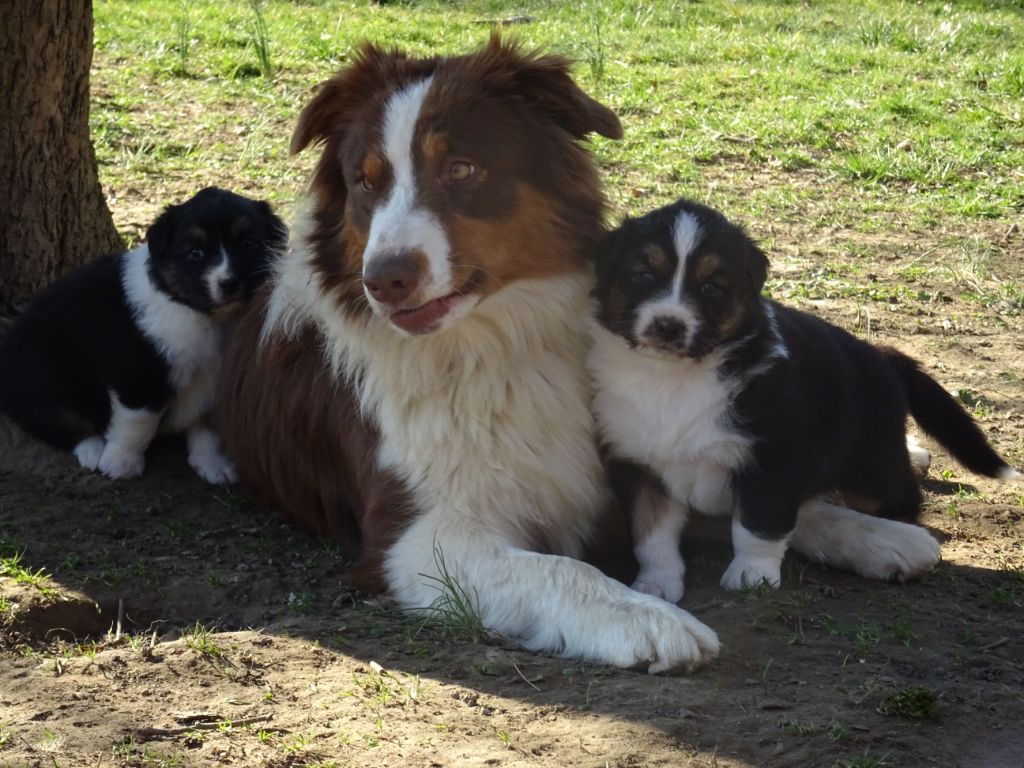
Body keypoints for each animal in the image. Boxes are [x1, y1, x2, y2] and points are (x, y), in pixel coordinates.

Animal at [0, 188, 286, 481]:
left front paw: (213, 464)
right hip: (43, 377)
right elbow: (139, 424)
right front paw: (120, 464)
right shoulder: (139, 376)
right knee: (58, 421)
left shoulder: (215, 379)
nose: (229, 283)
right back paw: (94, 450)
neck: (204, 315)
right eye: (195, 253)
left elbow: (207, 428)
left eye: (248, 243)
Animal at [218, 37, 720, 671]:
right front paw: (651, 620)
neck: (492, 344)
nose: (384, 280)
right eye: (365, 182)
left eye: (460, 168)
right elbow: (562, 570)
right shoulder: (417, 540)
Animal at [589, 198, 1019, 602]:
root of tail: (884, 357)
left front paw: (752, 576)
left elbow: (756, 526)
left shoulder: (773, 457)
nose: (668, 325)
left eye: (711, 286)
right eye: (644, 275)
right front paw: (655, 584)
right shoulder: (641, 464)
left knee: (903, 498)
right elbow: (652, 534)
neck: (673, 380)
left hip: (870, 466)